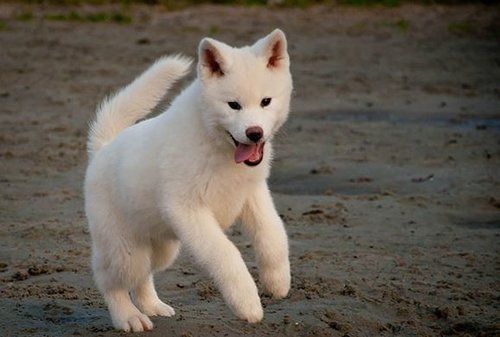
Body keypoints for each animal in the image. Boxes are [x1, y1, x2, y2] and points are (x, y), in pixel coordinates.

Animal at [84, 28, 292, 330]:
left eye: (266, 101)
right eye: (233, 105)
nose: (254, 133)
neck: (215, 143)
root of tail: (103, 148)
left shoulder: (253, 193)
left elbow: (273, 234)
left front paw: (277, 281)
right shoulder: (188, 210)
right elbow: (227, 254)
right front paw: (247, 303)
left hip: (162, 247)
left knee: (143, 276)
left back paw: (153, 306)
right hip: (125, 251)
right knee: (110, 280)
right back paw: (129, 317)